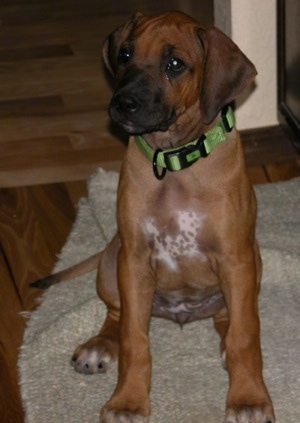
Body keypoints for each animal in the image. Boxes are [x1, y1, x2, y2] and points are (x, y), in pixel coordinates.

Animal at [32, 9, 274, 423]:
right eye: (125, 54)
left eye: (174, 64)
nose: (122, 103)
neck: (174, 161)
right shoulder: (134, 258)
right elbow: (134, 338)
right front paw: (127, 401)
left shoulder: (236, 259)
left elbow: (246, 334)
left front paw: (248, 398)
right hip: (112, 259)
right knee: (116, 314)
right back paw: (100, 345)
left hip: (250, 266)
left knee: (228, 320)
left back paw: (225, 347)